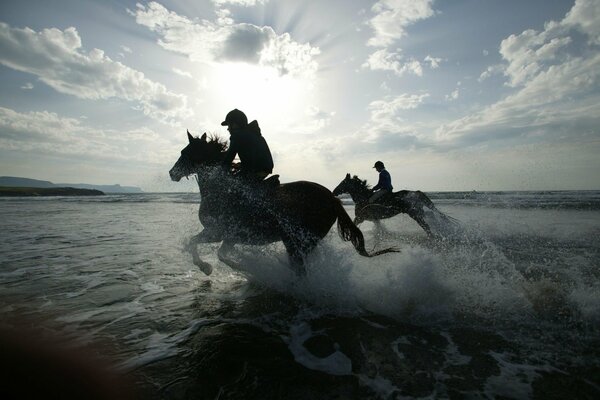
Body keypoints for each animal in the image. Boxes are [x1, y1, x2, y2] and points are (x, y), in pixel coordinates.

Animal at [169, 131, 396, 276]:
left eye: (185, 152)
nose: (172, 173)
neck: (221, 189)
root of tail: (332, 199)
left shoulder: (216, 232)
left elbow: (194, 243)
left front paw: (207, 267)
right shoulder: (230, 237)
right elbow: (220, 253)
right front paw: (240, 267)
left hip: (296, 241)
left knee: (300, 268)